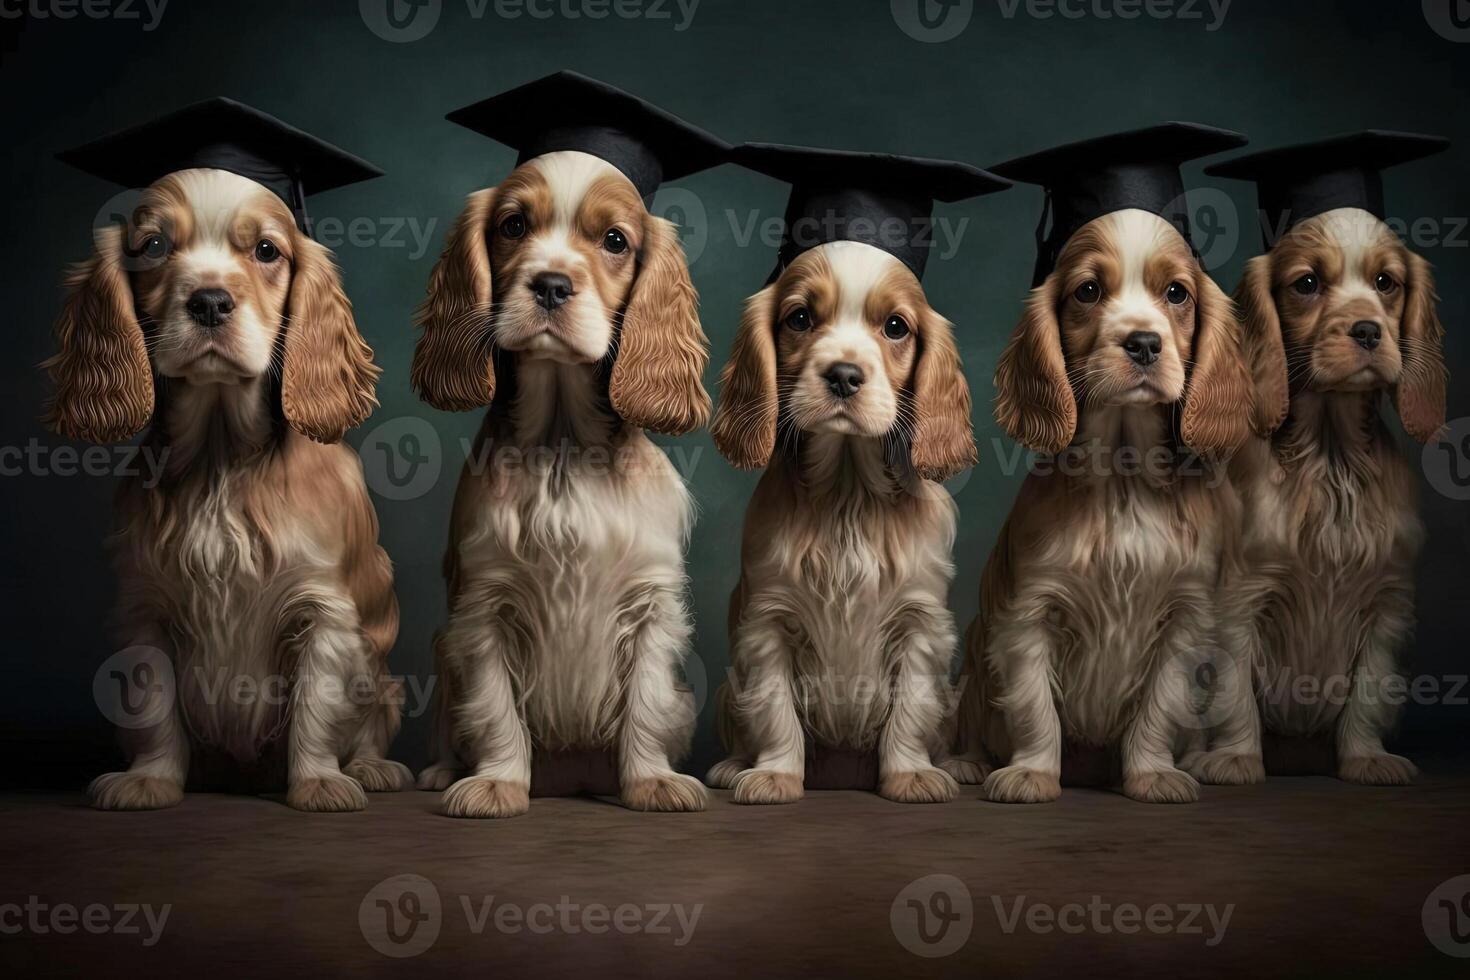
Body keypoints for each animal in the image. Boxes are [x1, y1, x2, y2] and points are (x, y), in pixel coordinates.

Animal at [45, 163, 405, 811]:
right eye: (153, 246)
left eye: (266, 250)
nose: (210, 301)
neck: (221, 457)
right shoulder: (146, 608)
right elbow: (153, 702)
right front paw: (151, 779)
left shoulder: (322, 608)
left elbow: (316, 705)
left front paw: (318, 782)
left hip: (385, 676)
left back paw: (371, 768)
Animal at [411, 139, 714, 811]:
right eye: (513, 226)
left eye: (615, 240)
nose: (551, 285)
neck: (563, 444)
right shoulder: (485, 604)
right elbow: (495, 705)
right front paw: (497, 782)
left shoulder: (650, 603)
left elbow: (646, 702)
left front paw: (651, 780)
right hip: (442, 651)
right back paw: (442, 770)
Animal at [708, 238, 981, 805]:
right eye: (800, 318)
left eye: (896, 327)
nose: (843, 375)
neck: (848, 489)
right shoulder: (769, 621)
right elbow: (774, 707)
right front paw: (776, 775)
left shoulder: (919, 622)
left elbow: (911, 708)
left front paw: (910, 775)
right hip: (725, 687)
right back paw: (732, 765)